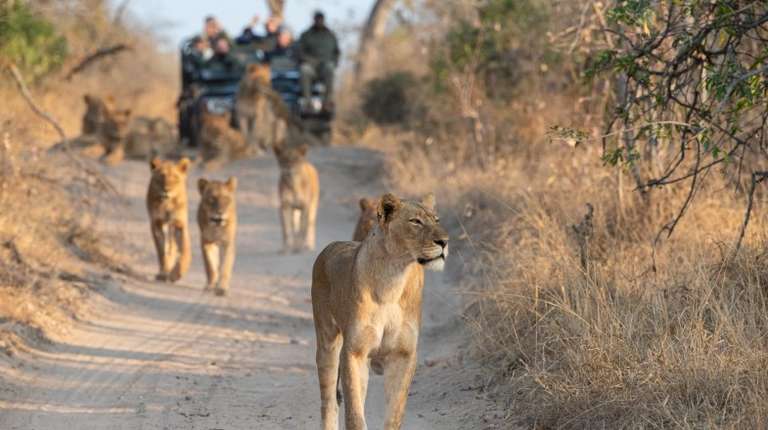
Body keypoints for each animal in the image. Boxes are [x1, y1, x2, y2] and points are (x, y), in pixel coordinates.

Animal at [311, 193, 449, 430]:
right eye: (415, 221)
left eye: (436, 220)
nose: (444, 241)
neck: (393, 279)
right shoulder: (354, 352)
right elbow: (355, 416)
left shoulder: (403, 355)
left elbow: (395, 414)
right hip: (328, 342)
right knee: (328, 403)